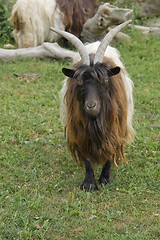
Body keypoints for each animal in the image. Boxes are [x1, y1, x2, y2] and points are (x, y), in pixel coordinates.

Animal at [50, 21, 134, 193]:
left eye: (105, 81)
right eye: (79, 81)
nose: (91, 106)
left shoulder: (114, 127)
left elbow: (110, 150)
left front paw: (105, 178)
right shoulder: (80, 131)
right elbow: (87, 158)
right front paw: (89, 184)